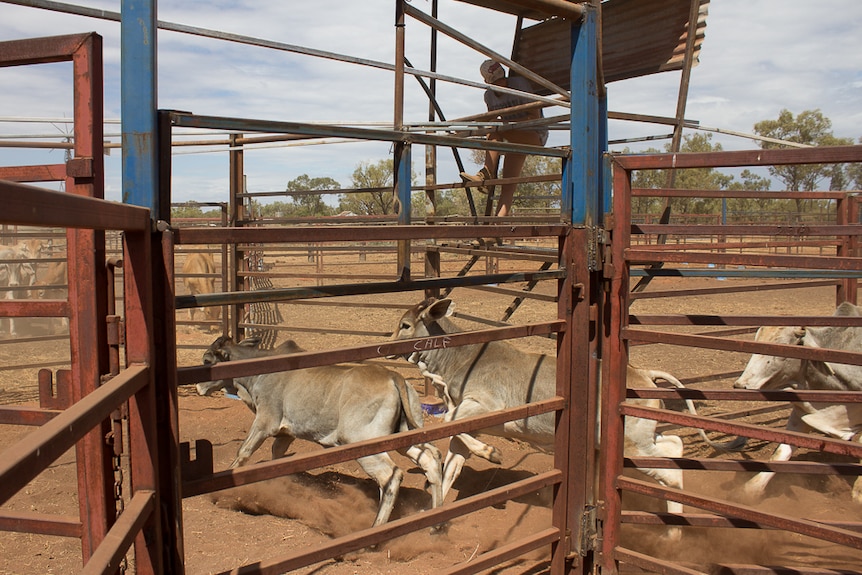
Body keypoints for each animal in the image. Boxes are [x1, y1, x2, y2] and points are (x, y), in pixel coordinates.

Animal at [198, 336, 442, 528]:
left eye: (207, 361)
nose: (199, 387)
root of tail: (393, 377)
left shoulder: (265, 422)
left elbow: (243, 452)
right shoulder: (286, 434)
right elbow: (277, 458)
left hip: (364, 444)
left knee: (390, 476)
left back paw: (376, 528)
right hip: (404, 438)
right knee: (431, 459)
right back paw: (435, 520)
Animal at [392, 296, 716, 540]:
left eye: (405, 325)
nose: (391, 344)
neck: (462, 359)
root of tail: (642, 373)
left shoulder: (485, 406)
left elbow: (450, 424)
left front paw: (493, 453)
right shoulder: (472, 423)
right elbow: (453, 465)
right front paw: (435, 519)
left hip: (631, 446)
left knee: (669, 472)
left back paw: (673, 533)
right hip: (641, 438)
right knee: (673, 445)